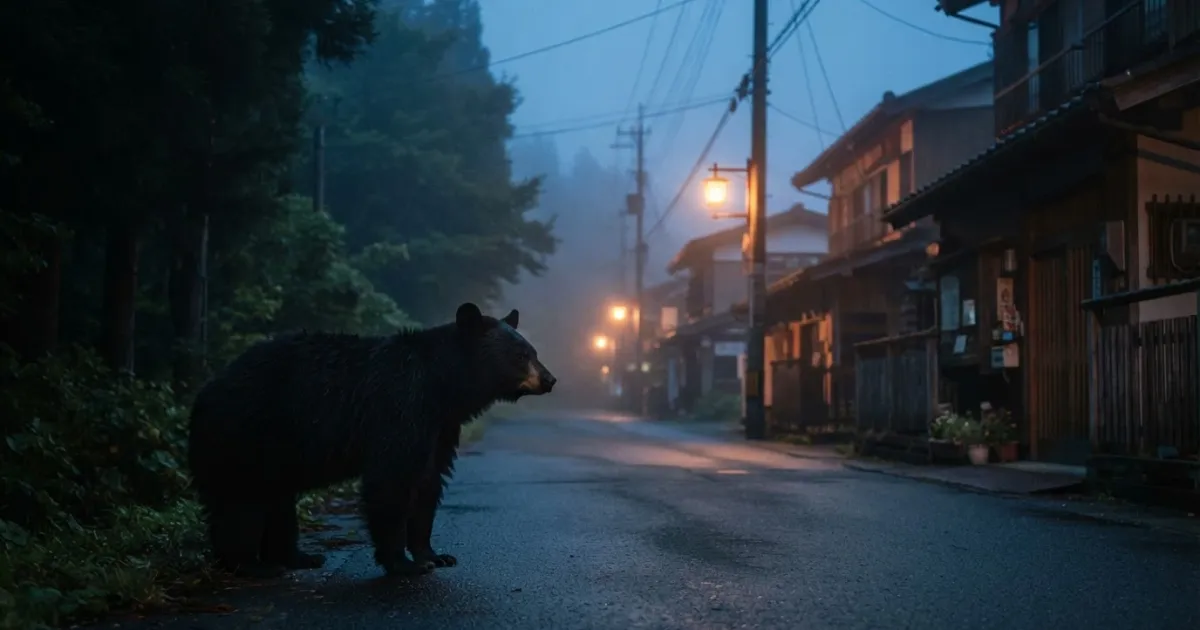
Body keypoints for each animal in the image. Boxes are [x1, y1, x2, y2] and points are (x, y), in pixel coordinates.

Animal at [186, 302, 556, 579]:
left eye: (534, 351)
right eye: (521, 355)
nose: (550, 379)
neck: (443, 385)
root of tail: (202, 395)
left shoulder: (440, 426)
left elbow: (429, 481)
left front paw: (434, 555)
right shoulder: (400, 407)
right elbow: (391, 478)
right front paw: (402, 563)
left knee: (277, 500)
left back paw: (298, 557)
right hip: (245, 436)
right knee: (241, 502)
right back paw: (249, 565)